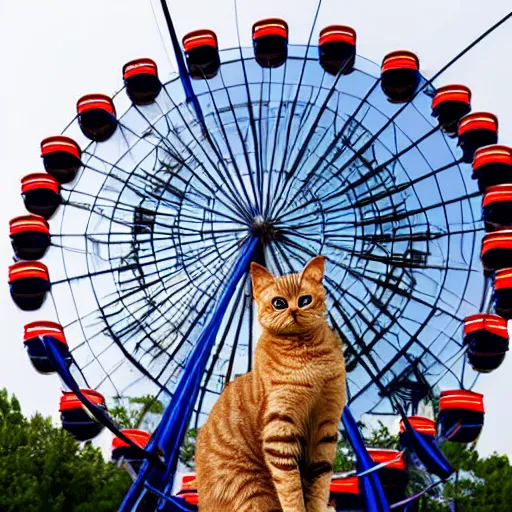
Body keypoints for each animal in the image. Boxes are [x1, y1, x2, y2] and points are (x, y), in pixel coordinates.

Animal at [194, 256, 346, 512]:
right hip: (252, 488)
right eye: (279, 303)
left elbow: (320, 483)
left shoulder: (325, 427)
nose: (293, 310)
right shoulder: (280, 428)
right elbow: (291, 489)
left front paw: (319, 507)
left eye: (305, 300)